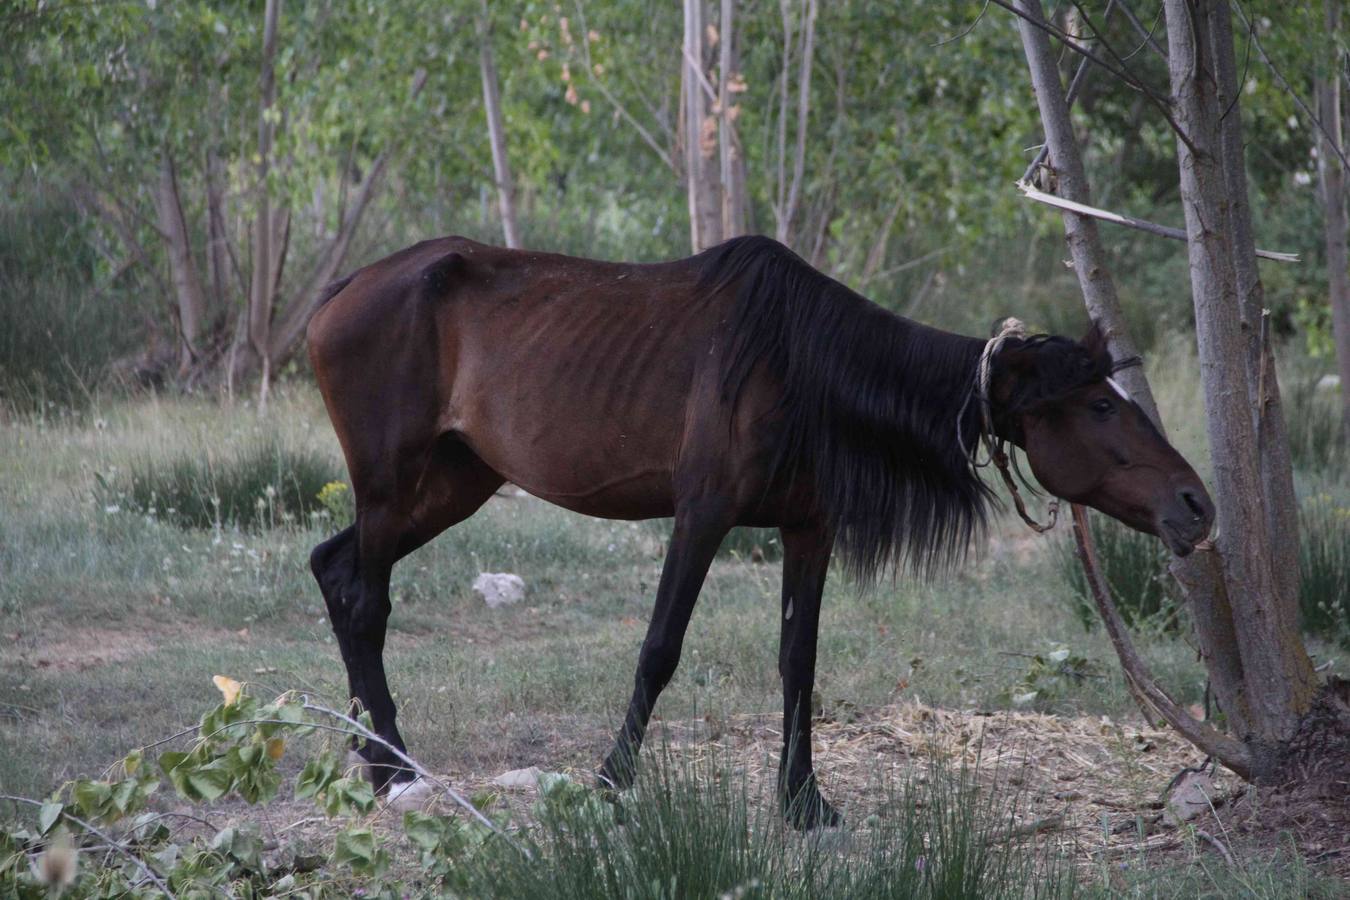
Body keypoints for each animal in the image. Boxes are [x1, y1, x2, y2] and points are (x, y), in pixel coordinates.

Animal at [306, 234, 1215, 831]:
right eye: (1097, 406)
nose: (1196, 504)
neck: (805, 364)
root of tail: (339, 291)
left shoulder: (808, 529)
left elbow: (798, 663)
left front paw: (803, 801)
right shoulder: (703, 512)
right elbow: (660, 649)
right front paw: (612, 781)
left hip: (453, 482)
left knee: (333, 568)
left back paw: (375, 757)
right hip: (393, 483)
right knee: (366, 601)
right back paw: (394, 771)